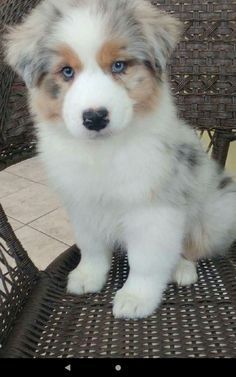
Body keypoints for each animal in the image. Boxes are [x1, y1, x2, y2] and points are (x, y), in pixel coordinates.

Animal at [4, 0, 236, 318]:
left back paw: (182, 269)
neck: (103, 152)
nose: (95, 118)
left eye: (118, 66)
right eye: (66, 71)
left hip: (213, 212)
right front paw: (88, 276)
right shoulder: (82, 204)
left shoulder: (152, 211)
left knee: (191, 246)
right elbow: (91, 247)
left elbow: (146, 261)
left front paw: (136, 297)